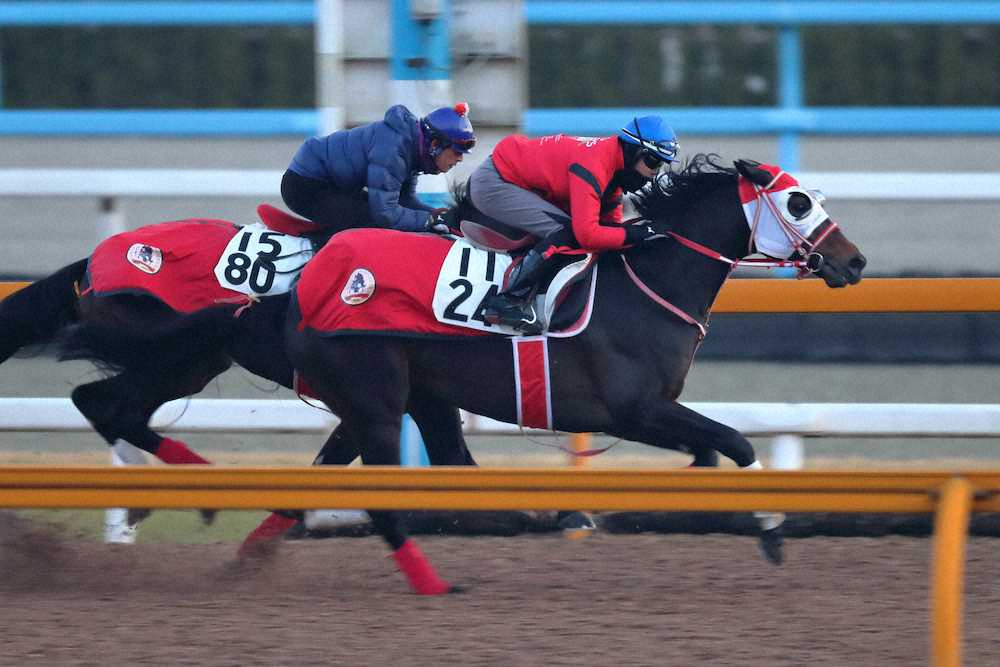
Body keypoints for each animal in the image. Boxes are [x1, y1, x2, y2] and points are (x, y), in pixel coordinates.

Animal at [60, 158, 868, 596]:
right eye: (799, 202)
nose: (854, 260)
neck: (644, 280)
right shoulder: (632, 409)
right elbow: (736, 444)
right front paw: (767, 530)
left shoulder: (650, 413)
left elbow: (715, 449)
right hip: (371, 394)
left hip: (388, 393)